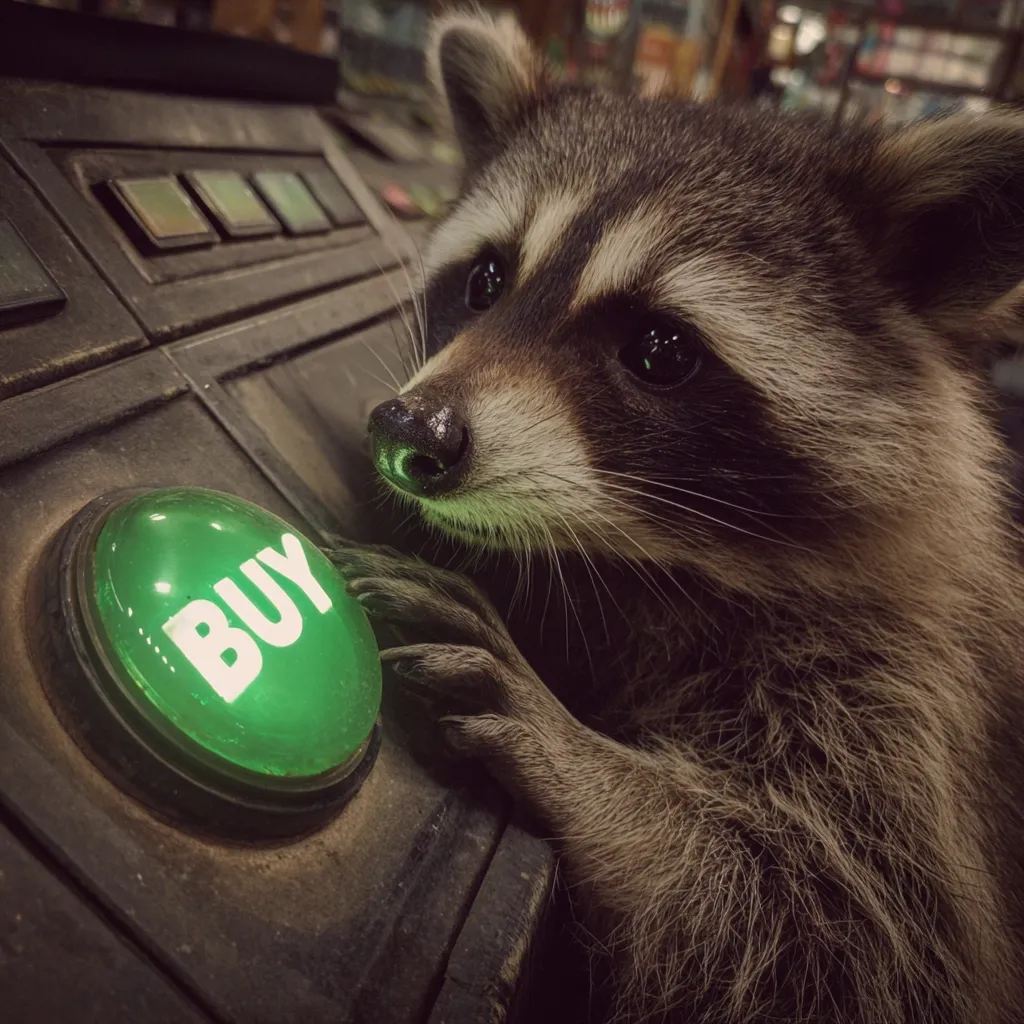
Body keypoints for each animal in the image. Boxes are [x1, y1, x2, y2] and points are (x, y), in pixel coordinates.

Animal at [331, 11, 1024, 1023]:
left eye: (661, 349)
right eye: (487, 279)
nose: (410, 431)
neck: (646, 561)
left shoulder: (911, 694)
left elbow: (843, 938)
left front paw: (583, 766)